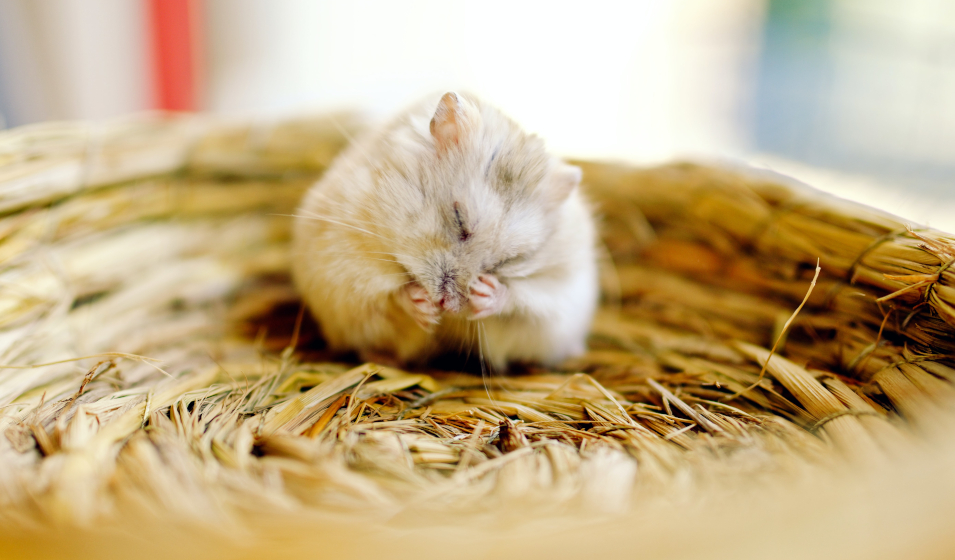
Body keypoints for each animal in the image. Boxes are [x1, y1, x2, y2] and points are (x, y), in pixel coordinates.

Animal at [291, 92, 598, 370]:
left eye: (510, 260)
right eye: (459, 219)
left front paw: (485, 293)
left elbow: (524, 299)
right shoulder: (347, 262)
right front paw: (423, 304)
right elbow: (389, 294)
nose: (449, 306)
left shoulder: (560, 294)